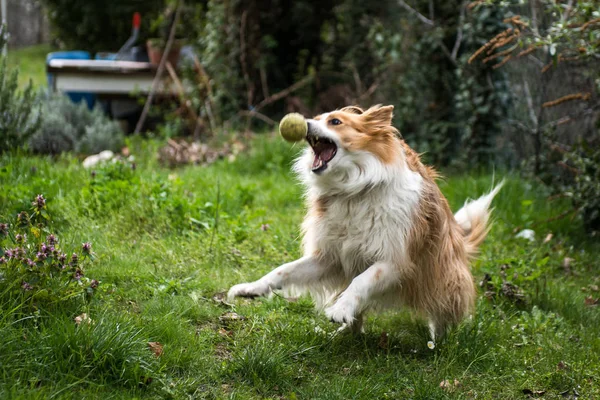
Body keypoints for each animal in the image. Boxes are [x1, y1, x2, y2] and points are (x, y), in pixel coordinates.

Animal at [229, 104, 502, 340]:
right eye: (316, 117)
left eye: (335, 121)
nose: (302, 123)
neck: (354, 191)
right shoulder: (330, 257)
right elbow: (283, 270)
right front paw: (251, 288)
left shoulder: (395, 260)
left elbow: (362, 280)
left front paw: (340, 309)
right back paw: (347, 332)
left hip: (442, 274)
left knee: (444, 308)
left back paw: (439, 340)